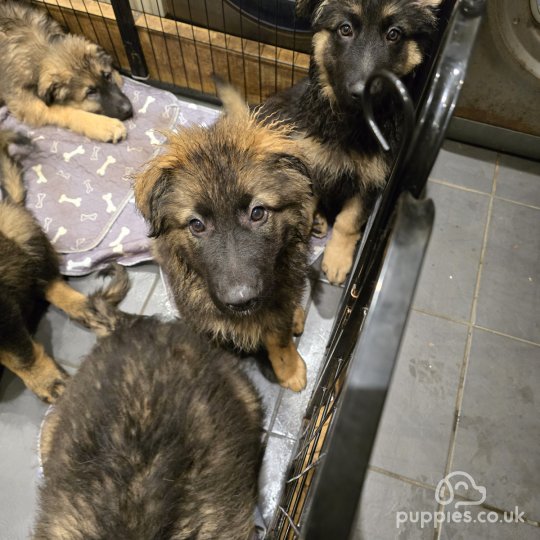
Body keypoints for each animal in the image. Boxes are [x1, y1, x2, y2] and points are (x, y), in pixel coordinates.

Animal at [0, 0, 133, 142]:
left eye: (107, 76)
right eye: (91, 92)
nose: (129, 109)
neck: (43, 50)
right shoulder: (27, 103)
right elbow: (62, 109)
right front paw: (105, 125)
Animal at [0, 130, 130, 400]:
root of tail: (11, 204)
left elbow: (19, 355)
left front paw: (48, 381)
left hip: (19, 233)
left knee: (46, 281)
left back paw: (84, 306)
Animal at [258, 0, 442, 284]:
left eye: (394, 34)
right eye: (345, 29)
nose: (362, 92)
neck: (352, 124)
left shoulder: (371, 180)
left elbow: (348, 222)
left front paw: (337, 258)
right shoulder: (309, 168)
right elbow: (304, 209)